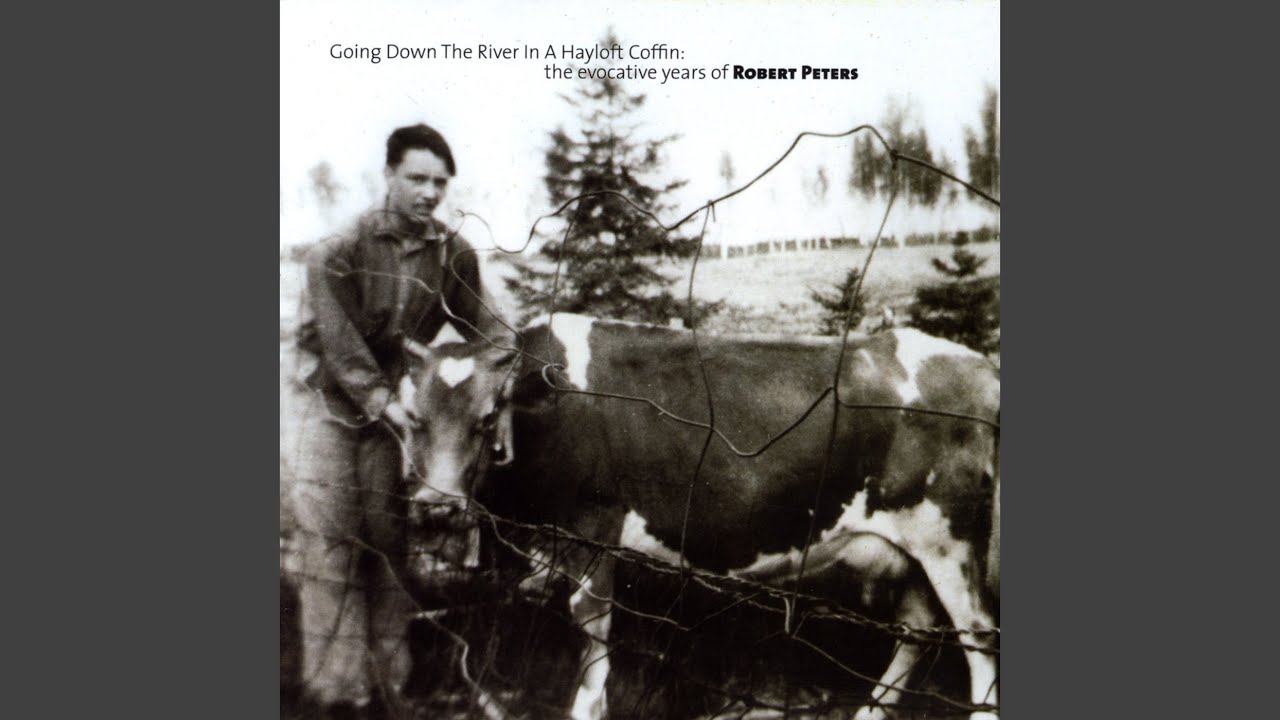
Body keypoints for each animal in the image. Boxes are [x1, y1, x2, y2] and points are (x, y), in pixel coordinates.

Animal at [400, 313, 1000, 720]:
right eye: (413, 419)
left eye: (486, 419)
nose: (435, 507)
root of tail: (980, 367)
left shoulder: (594, 525)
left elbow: (592, 634)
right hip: (918, 550)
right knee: (919, 629)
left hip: (951, 543)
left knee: (979, 639)